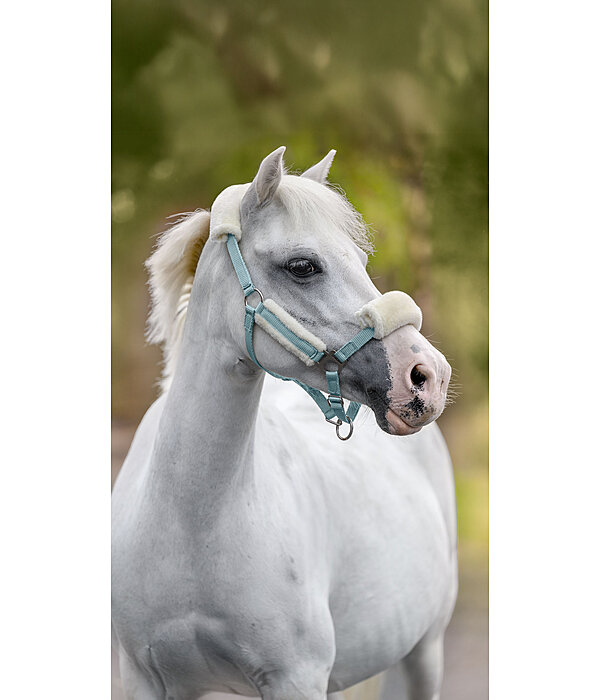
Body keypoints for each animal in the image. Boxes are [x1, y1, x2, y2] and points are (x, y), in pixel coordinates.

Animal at [112, 146, 457, 700]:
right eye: (302, 266)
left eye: (361, 262)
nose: (428, 377)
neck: (193, 522)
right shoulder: (143, 678)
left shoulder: (296, 679)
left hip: (425, 652)